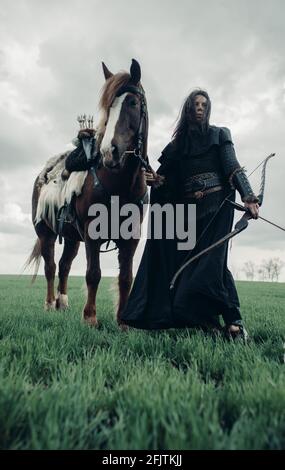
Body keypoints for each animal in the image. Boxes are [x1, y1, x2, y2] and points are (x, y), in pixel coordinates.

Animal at [27, 58, 149, 326]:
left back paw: (62, 304)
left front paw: (123, 322)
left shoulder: (131, 237)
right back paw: (50, 304)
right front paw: (90, 318)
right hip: (45, 232)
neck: (118, 184)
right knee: (51, 267)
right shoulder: (93, 233)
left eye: (133, 103)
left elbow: (126, 276)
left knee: (64, 266)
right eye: (107, 107)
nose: (109, 153)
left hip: (72, 237)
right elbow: (93, 273)